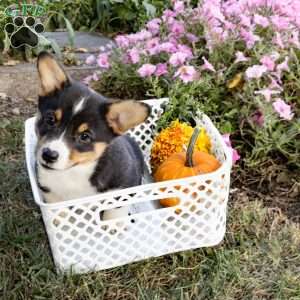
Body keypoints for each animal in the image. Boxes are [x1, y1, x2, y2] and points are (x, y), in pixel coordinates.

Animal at [35, 52, 151, 218]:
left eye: (85, 136)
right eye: (50, 119)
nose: (48, 155)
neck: (76, 171)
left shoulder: (122, 191)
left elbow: (114, 214)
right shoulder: (50, 194)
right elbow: (59, 214)